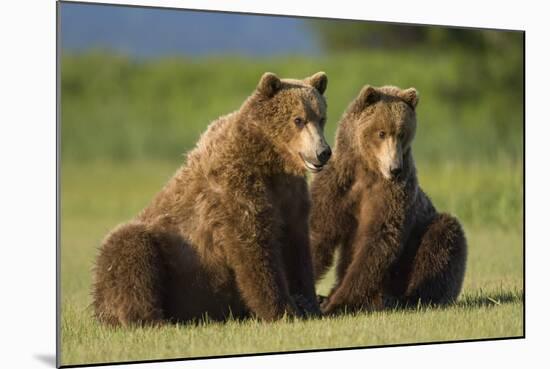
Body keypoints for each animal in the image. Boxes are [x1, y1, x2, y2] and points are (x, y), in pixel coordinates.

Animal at [92, 70, 332, 324]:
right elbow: (253, 246)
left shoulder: (290, 196)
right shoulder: (235, 187)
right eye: (298, 119)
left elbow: (297, 248)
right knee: (127, 249)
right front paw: (283, 310)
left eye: (321, 118)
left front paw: (308, 303)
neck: (270, 161)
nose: (323, 152)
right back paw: (152, 318)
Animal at [312, 84, 468, 314]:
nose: (395, 168)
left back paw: (400, 299)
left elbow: (378, 242)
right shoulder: (337, 186)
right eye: (381, 132)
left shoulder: (394, 194)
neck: (368, 171)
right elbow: (319, 231)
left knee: (443, 237)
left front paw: (339, 302)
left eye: (402, 133)